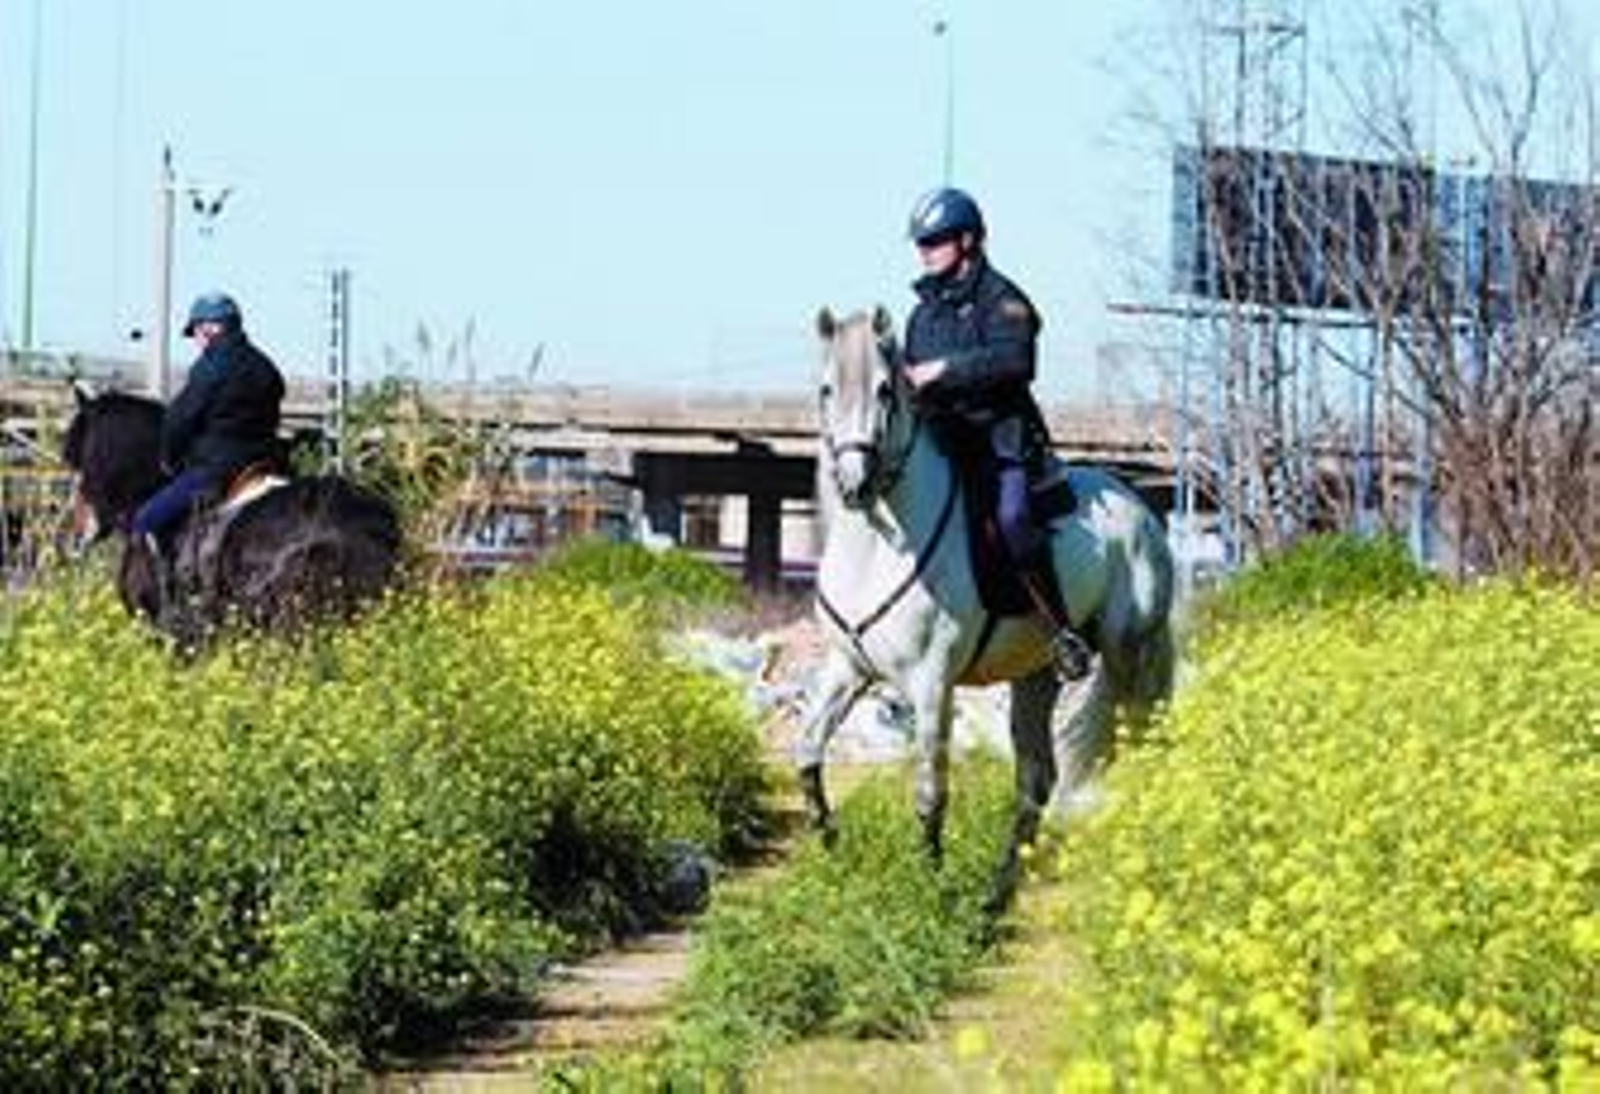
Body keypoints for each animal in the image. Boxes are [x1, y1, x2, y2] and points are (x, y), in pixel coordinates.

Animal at [798, 306, 1176, 911]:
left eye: (885, 391)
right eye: (826, 389)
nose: (854, 485)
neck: (877, 547)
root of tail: (1142, 510)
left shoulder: (931, 682)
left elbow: (930, 789)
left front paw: (927, 885)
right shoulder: (848, 668)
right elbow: (808, 753)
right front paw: (832, 849)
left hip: (1130, 658)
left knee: (1143, 747)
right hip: (1038, 675)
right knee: (1037, 778)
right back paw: (999, 891)